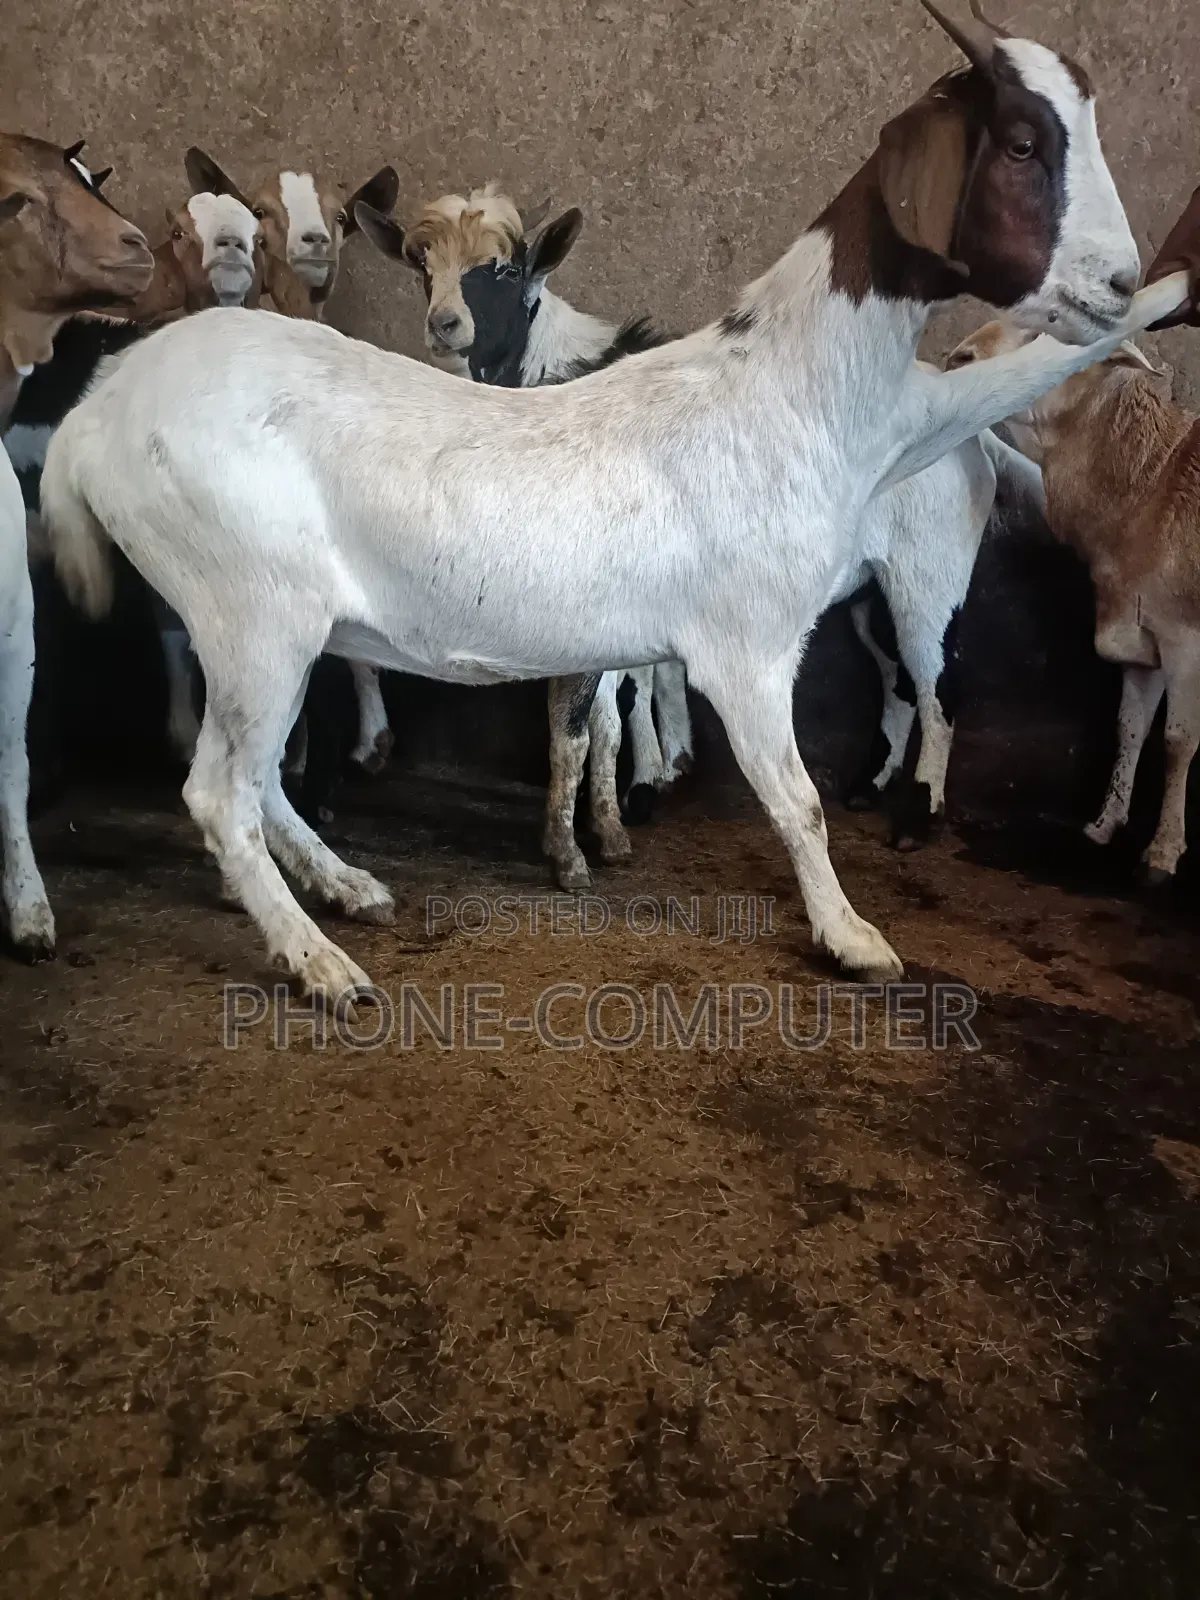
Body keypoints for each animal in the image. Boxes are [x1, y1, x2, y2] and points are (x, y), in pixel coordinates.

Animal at [947, 318, 1200, 882]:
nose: (958, 358)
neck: (1149, 485)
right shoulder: (1140, 636)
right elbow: (1129, 729)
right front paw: (1105, 825)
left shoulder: (1185, 642)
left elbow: (1177, 742)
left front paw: (1163, 851)